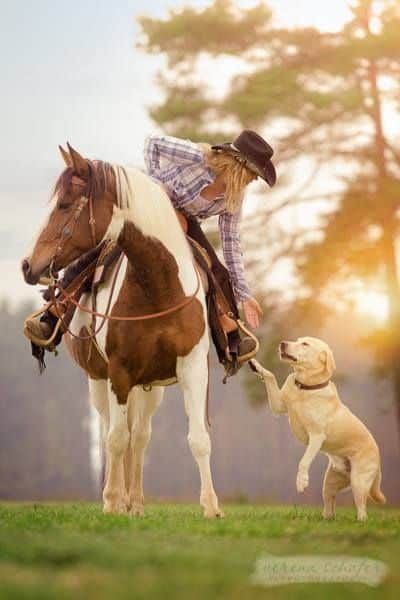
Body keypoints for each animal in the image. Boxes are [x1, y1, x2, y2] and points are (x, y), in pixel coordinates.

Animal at [21, 143, 223, 516]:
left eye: (64, 204)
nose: (28, 265)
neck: (158, 285)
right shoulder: (118, 371)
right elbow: (115, 439)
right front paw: (113, 503)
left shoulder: (191, 367)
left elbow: (198, 439)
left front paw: (211, 507)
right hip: (99, 380)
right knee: (111, 433)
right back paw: (119, 500)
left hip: (150, 389)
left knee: (139, 436)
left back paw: (137, 502)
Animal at [250, 338, 384, 520]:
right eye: (297, 340)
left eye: (305, 344)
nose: (282, 343)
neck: (305, 386)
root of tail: (377, 454)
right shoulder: (278, 406)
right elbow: (270, 375)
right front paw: (256, 364)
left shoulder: (316, 436)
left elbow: (303, 461)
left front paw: (301, 481)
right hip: (330, 483)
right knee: (330, 505)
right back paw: (326, 518)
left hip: (359, 481)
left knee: (362, 508)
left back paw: (360, 521)